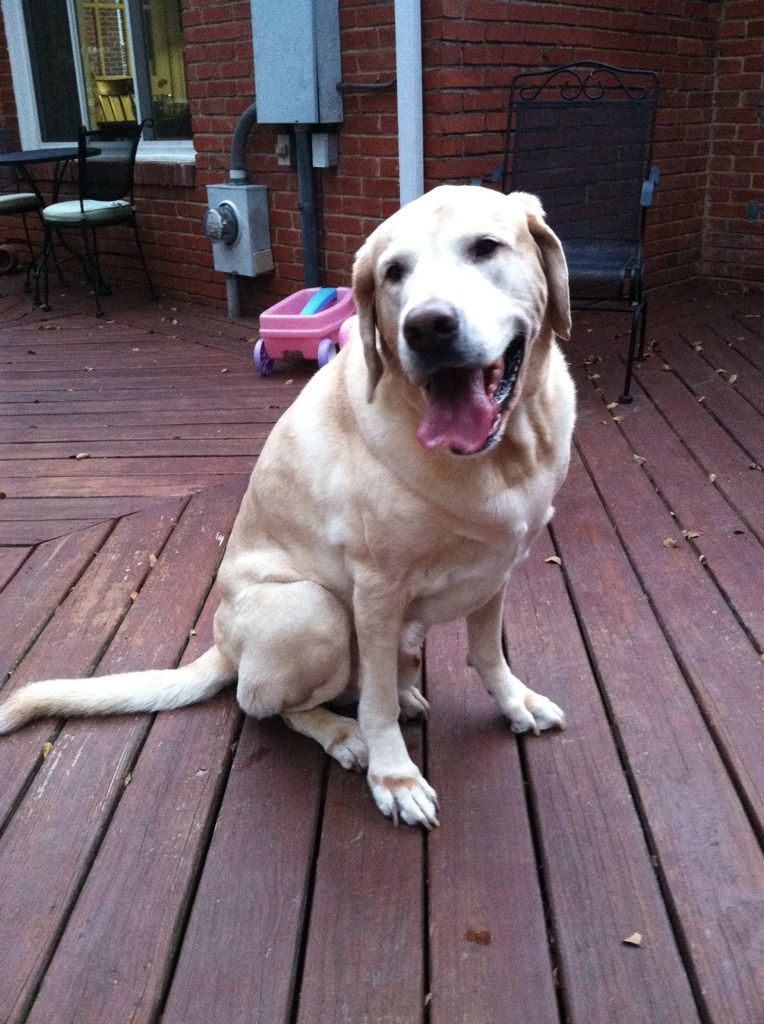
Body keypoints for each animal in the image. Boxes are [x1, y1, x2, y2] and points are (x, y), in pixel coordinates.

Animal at [0, 186, 573, 823]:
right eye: (393, 273)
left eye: (486, 247)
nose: (427, 328)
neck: (505, 454)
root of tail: (224, 646)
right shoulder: (377, 590)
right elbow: (376, 704)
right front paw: (394, 776)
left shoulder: (496, 571)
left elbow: (487, 653)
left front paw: (515, 702)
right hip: (313, 610)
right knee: (265, 702)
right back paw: (343, 735)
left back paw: (404, 692)